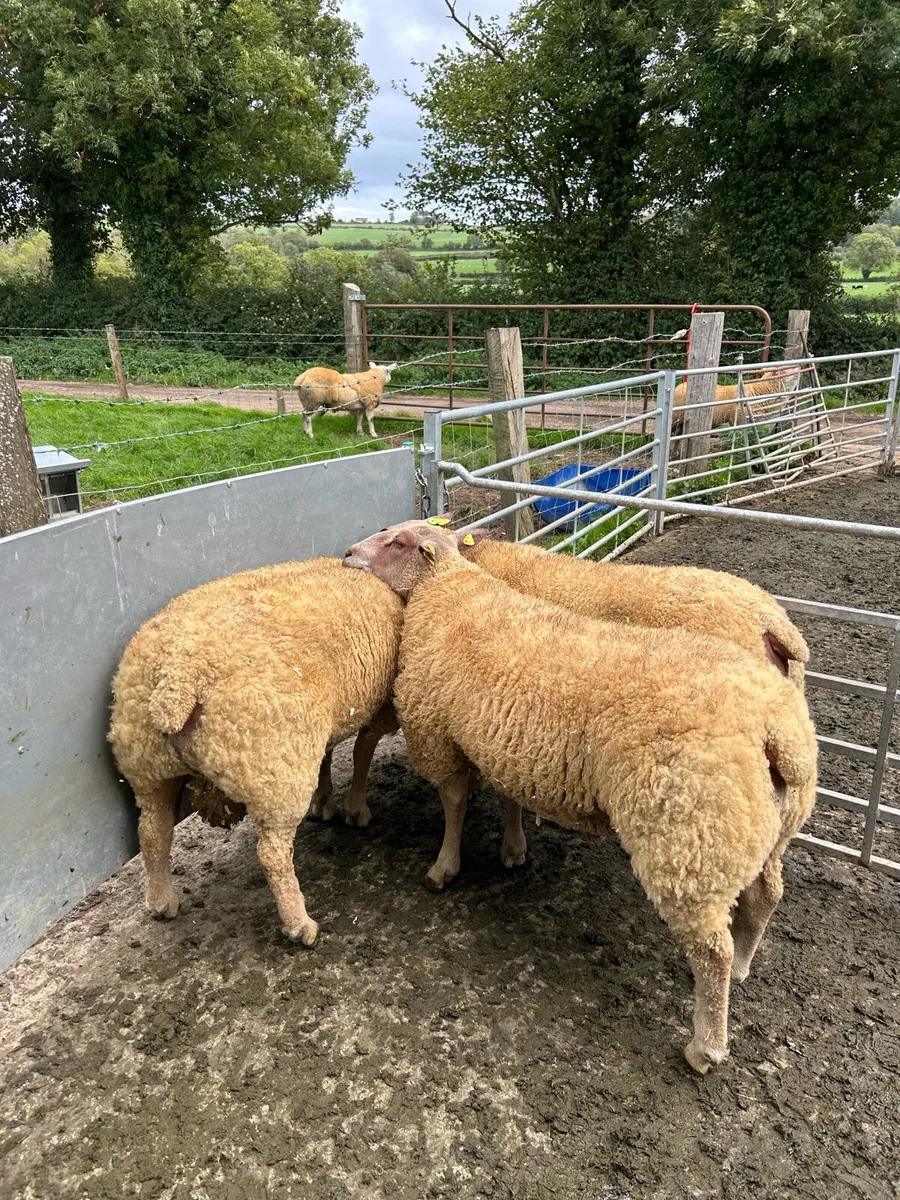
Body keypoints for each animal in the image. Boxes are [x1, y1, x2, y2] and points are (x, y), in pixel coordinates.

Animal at [108, 557, 403, 944]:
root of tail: (179, 678)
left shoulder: (323, 722)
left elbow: (328, 755)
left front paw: (324, 801)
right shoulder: (380, 709)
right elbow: (362, 752)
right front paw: (356, 809)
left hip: (146, 763)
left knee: (153, 831)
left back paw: (162, 902)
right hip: (277, 771)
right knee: (272, 853)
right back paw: (299, 925)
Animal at [343, 524, 817, 1072]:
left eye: (394, 542)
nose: (347, 554)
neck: (452, 583)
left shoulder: (438, 733)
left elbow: (455, 804)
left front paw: (445, 866)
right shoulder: (511, 741)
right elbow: (509, 797)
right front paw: (513, 848)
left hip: (687, 839)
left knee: (709, 949)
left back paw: (706, 1045)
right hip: (764, 824)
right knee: (766, 896)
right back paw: (743, 963)